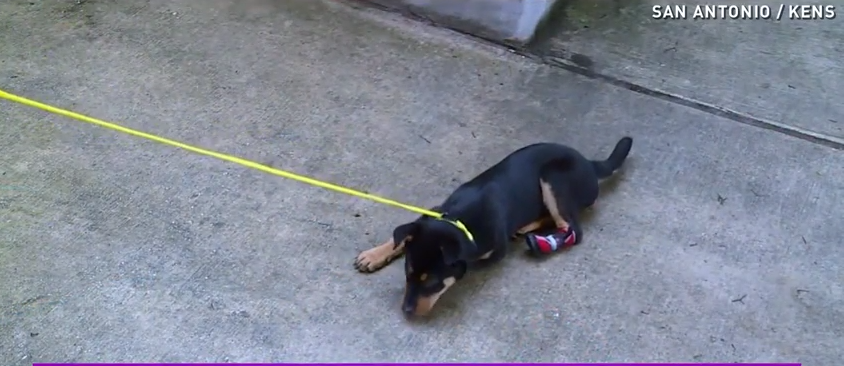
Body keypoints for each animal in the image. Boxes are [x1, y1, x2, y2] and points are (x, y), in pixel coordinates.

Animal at [352, 137, 628, 318]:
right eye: (407, 273)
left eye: (432, 282)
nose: (406, 311)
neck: (459, 220)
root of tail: (590, 163)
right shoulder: (431, 214)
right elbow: (401, 236)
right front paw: (373, 255)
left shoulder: (494, 250)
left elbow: (468, 264)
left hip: (554, 178)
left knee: (572, 228)